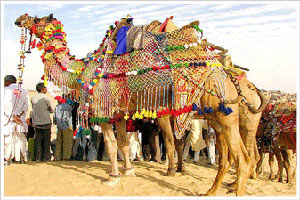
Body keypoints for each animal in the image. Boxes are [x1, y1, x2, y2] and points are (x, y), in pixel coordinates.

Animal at [14, 12, 268, 195]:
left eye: (38, 19)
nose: (20, 18)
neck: (84, 70)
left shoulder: (105, 110)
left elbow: (113, 144)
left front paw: (113, 176)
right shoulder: (121, 113)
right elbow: (124, 143)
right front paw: (129, 170)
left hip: (229, 116)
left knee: (243, 158)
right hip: (219, 116)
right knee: (233, 156)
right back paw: (213, 190)